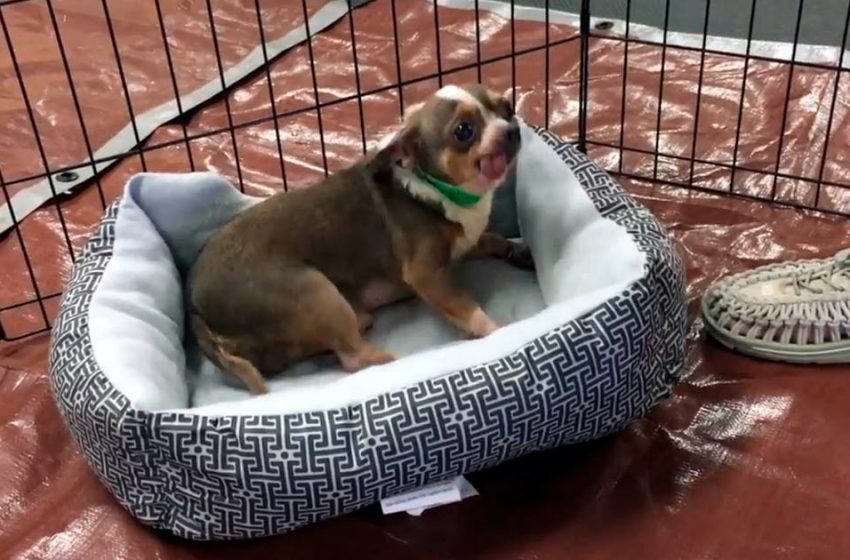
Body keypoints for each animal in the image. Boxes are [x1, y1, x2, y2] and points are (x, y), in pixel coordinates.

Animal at [187, 84, 528, 394]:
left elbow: (492, 238)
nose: (512, 129)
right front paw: (497, 332)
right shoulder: (427, 275)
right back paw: (389, 360)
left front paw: (518, 251)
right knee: (352, 359)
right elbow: (468, 308)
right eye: (464, 131)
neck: (445, 191)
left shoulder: (464, 243)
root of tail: (197, 310)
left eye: (506, 107)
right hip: (315, 291)